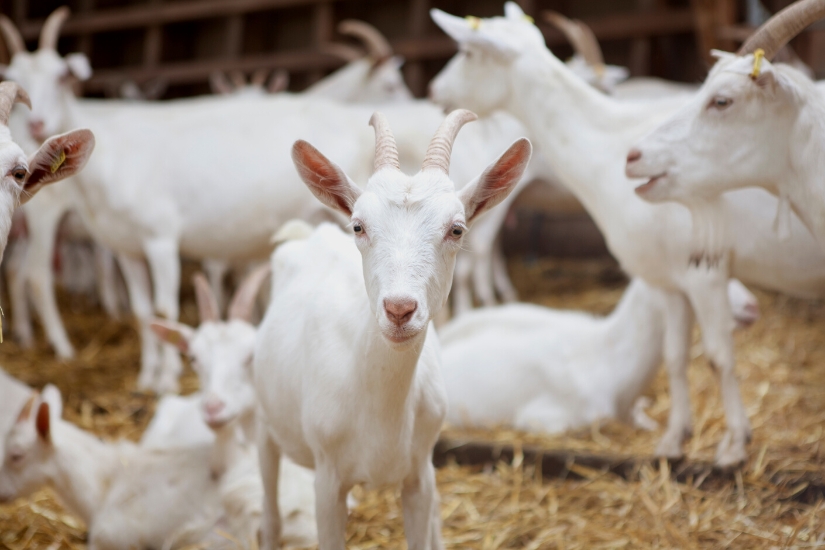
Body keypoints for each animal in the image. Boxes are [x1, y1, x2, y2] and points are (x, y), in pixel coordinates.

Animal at [254, 110, 532, 548]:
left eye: (456, 229)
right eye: (358, 226)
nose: (399, 309)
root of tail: (309, 236)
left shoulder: (419, 475)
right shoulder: (327, 483)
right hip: (265, 424)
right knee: (269, 513)